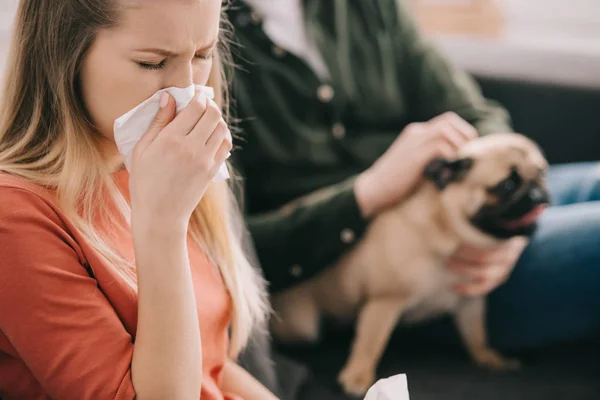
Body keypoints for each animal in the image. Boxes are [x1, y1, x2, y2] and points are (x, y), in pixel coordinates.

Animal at [270, 133, 552, 396]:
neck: (450, 232)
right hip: (303, 326)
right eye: (507, 185)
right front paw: (358, 376)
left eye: (542, 173)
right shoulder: (384, 301)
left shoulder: (470, 303)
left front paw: (488, 357)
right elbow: (371, 343)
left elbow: (476, 334)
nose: (537, 193)